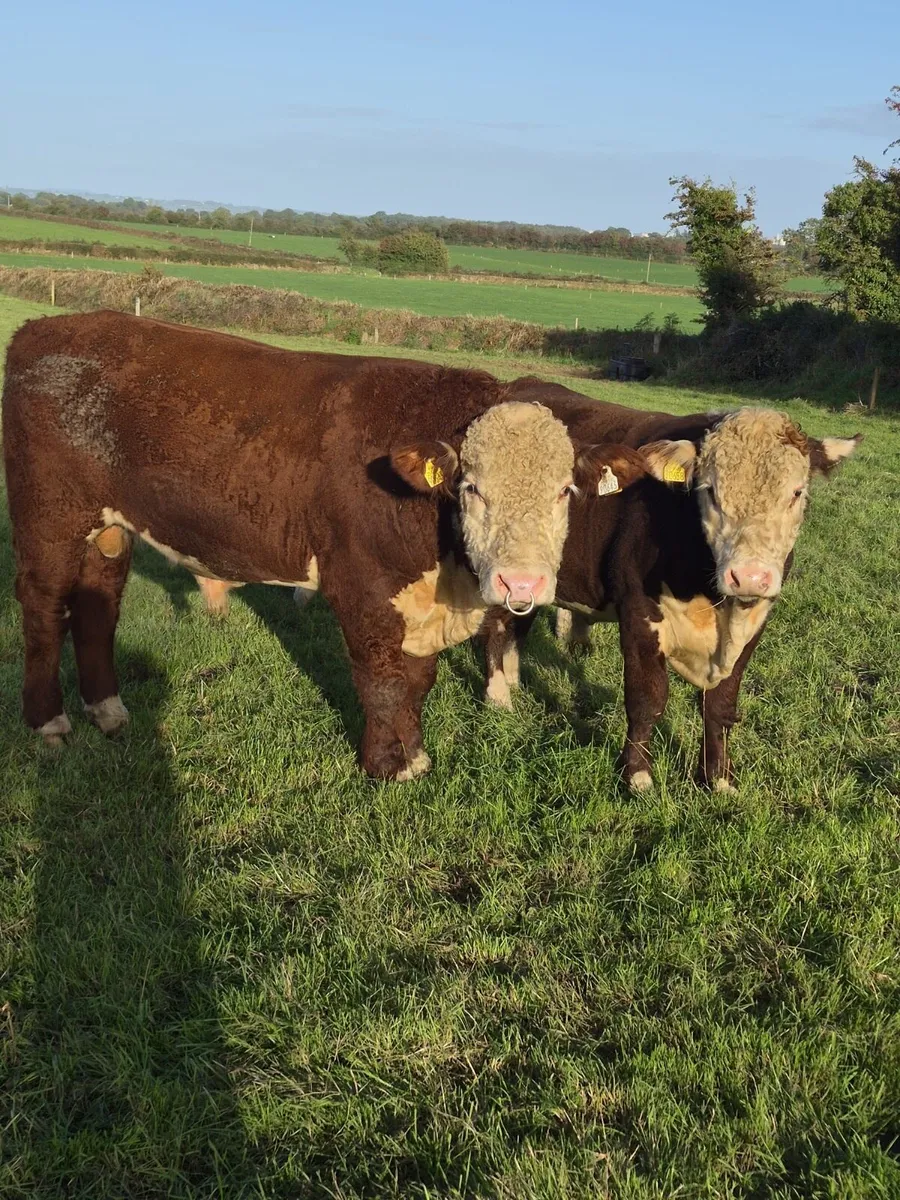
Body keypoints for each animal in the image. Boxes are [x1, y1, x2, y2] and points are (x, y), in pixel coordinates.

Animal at [2, 311, 638, 780]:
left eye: (564, 491)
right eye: (471, 487)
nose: (521, 583)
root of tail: (45, 328)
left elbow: (417, 680)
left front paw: (415, 754)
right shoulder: (363, 589)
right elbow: (384, 681)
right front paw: (390, 768)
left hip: (106, 530)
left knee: (98, 602)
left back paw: (108, 711)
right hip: (50, 516)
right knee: (42, 604)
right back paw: (49, 722)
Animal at [479, 379, 860, 791]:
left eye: (796, 493)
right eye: (709, 490)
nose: (749, 576)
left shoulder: (754, 622)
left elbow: (720, 704)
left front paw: (718, 778)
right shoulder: (639, 611)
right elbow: (647, 697)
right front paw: (637, 776)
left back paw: (514, 681)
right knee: (497, 626)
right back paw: (498, 698)